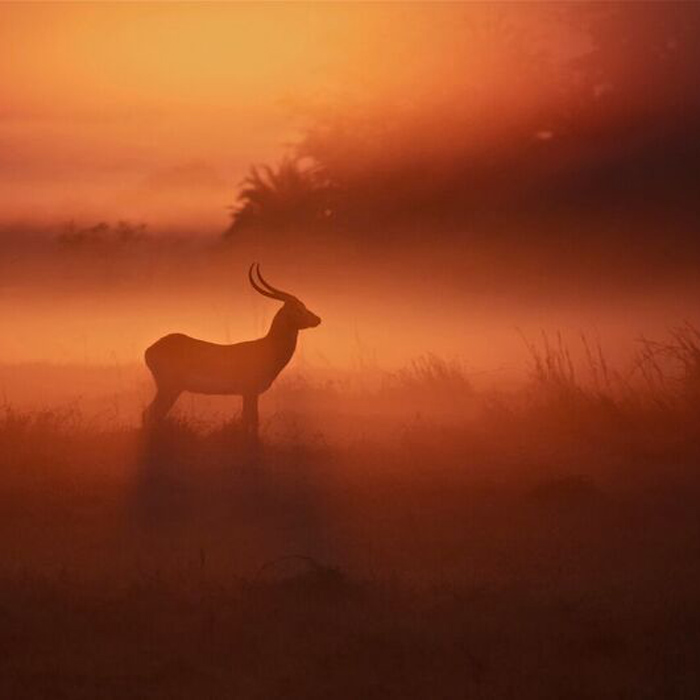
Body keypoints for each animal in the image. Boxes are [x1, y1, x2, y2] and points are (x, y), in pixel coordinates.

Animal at [143, 266, 322, 434]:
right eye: (298, 308)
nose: (317, 319)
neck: (266, 348)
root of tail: (149, 350)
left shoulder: (248, 394)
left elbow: (249, 421)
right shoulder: (250, 391)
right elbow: (251, 422)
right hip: (169, 388)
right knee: (150, 413)